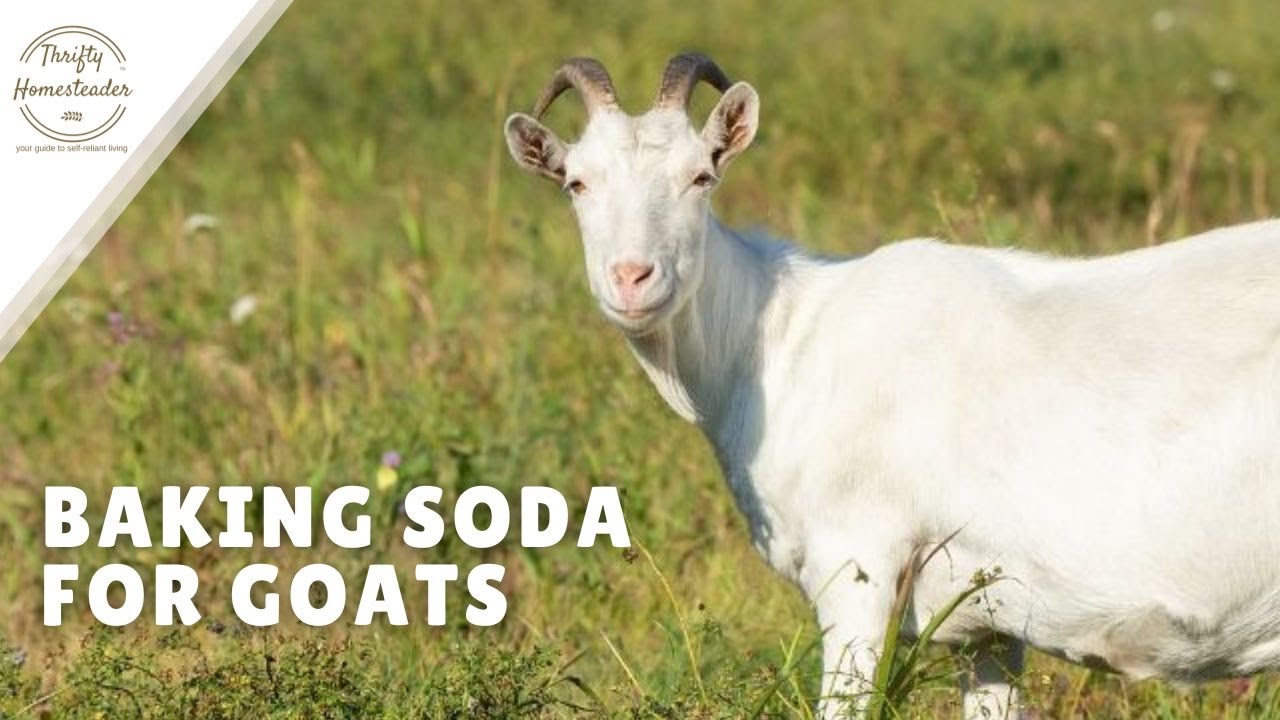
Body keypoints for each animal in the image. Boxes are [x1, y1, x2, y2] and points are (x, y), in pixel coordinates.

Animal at [503, 53, 1280, 719]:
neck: (782, 341)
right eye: (577, 183)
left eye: (702, 176)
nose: (633, 278)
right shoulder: (989, 618)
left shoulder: (857, 562)